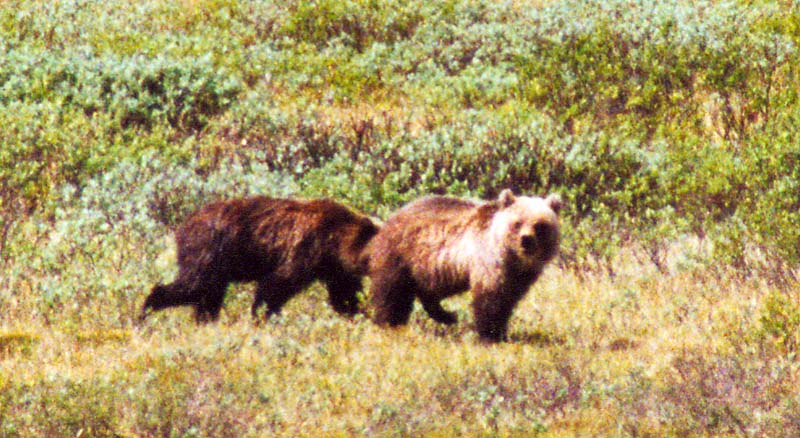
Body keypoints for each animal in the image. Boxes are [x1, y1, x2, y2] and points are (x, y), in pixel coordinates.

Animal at [141, 197, 382, 324]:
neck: (334, 238)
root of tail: (182, 227)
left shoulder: (333, 267)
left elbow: (345, 294)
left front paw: (362, 314)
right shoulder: (305, 248)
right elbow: (276, 285)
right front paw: (263, 316)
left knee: (209, 295)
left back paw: (206, 320)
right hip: (209, 250)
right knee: (193, 286)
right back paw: (147, 309)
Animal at [366, 190, 560, 344]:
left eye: (540, 226)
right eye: (517, 223)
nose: (526, 240)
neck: (514, 259)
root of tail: (388, 220)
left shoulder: (521, 276)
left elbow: (508, 299)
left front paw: (501, 332)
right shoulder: (488, 261)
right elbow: (491, 299)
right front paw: (490, 335)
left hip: (426, 266)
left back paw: (447, 316)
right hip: (402, 255)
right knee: (393, 293)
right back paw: (390, 323)